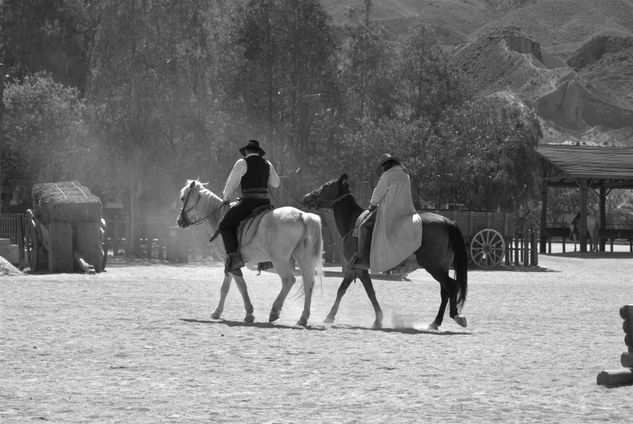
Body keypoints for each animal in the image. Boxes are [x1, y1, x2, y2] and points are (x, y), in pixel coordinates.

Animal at [178, 178, 324, 324]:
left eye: (183, 198)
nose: (179, 221)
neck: (218, 218)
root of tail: (301, 214)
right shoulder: (230, 264)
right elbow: (226, 288)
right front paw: (219, 312)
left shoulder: (230, 262)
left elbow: (239, 286)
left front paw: (247, 313)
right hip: (304, 259)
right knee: (308, 283)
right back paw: (303, 317)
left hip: (280, 261)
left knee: (289, 280)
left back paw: (275, 311)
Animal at [304, 174, 466, 330]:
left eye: (326, 186)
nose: (306, 197)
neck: (353, 223)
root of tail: (446, 222)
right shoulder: (354, 267)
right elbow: (345, 289)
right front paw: (331, 316)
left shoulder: (357, 268)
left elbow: (367, 292)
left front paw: (377, 320)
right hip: (441, 267)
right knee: (445, 291)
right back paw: (435, 322)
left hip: (433, 266)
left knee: (451, 286)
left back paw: (455, 316)